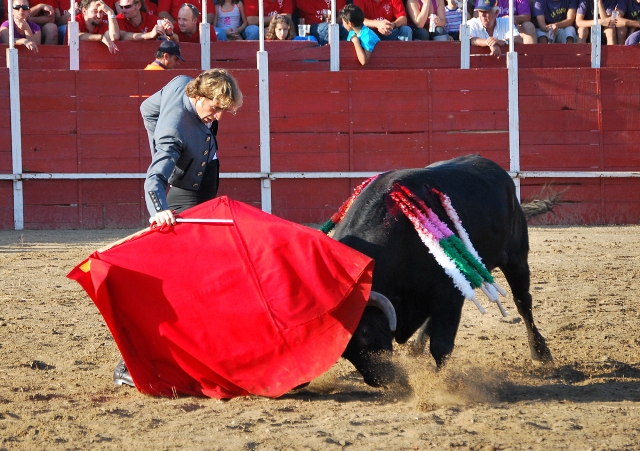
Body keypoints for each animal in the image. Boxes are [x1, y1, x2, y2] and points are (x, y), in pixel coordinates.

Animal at [336, 156, 556, 388]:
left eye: (364, 332)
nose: (379, 379)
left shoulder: (449, 291)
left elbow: (441, 344)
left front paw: (445, 385)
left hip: (516, 258)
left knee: (523, 301)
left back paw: (541, 353)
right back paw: (416, 348)